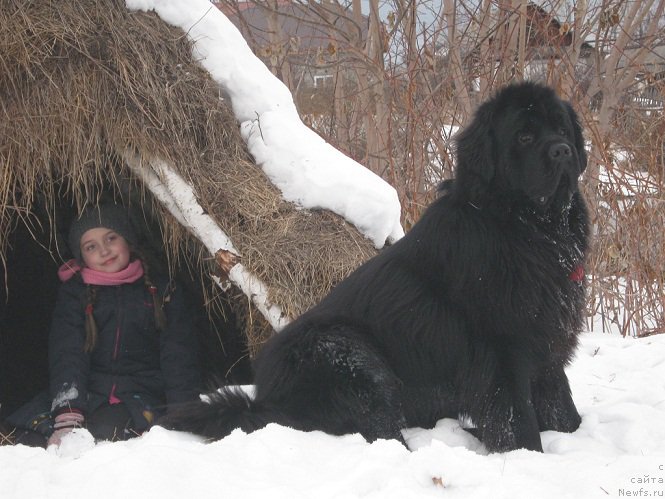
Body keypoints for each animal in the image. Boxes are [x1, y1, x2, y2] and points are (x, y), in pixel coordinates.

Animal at [163, 82, 588, 454]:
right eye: (524, 137)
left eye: (561, 128)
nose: (563, 152)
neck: (529, 231)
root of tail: (263, 397)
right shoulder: (501, 352)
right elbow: (518, 421)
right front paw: (530, 458)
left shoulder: (548, 343)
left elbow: (563, 410)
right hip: (348, 355)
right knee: (385, 434)